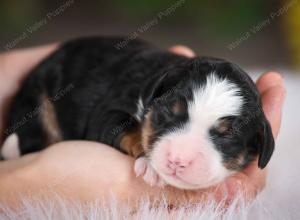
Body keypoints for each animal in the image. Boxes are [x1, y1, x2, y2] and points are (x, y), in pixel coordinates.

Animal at [0, 36, 274, 189]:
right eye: (168, 114)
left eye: (227, 136)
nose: (178, 160)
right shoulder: (107, 112)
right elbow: (129, 127)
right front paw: (152, 166)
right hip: (37, 101)